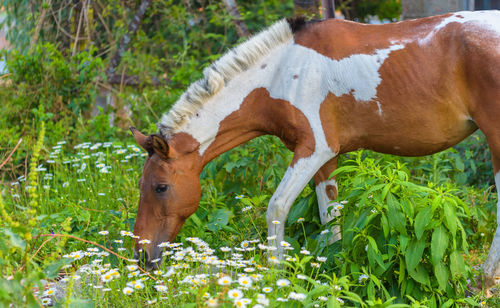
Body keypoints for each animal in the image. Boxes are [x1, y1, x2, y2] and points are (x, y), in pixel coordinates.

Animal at [130, 10, 500, 288]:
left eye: (161, 187)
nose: (141, 258)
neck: (281, 74)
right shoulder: (327, 158)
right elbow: (330, 214)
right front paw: (333, 269)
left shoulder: (313, 150)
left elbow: (277, 207)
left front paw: (275, 276)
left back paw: (483, 281)